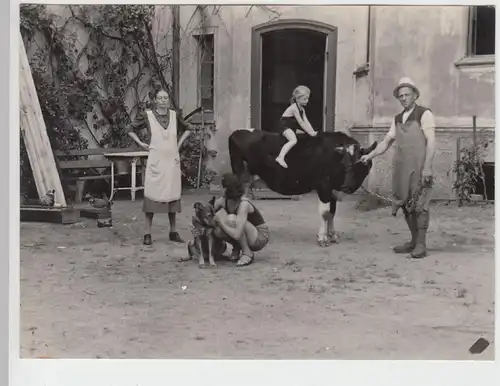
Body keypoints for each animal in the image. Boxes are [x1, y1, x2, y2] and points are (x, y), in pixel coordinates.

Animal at [227, 128, 376, 246]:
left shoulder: (332, 190)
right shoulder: (323, 186)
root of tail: (237, 132)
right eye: (345, 163)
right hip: (241, 177)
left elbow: (332, 213)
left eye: (362, 163)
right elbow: (325, 213)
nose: (346, 187)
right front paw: (322, 238)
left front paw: (333, 235)